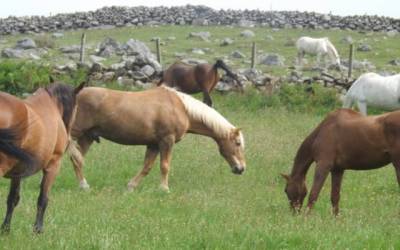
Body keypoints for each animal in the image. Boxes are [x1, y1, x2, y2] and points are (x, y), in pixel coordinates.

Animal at [0, 81, 85, 232]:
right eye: (77, 107)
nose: (69, 138)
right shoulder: (53, 165)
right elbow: (43, 199)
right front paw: (38, 229)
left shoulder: (18, 171)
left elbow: (13, 198)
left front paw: (5, 228)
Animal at [68, 86, 247, 191]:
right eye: (238, 143)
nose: (241, 168)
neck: (181, 107)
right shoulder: (167, 141)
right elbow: (164, 166)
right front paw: (164, 188)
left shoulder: (153, 144)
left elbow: (147, 167)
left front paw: (131, 186)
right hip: (75, 133)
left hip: (87, 137)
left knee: (77, 159)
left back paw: (83, 185)